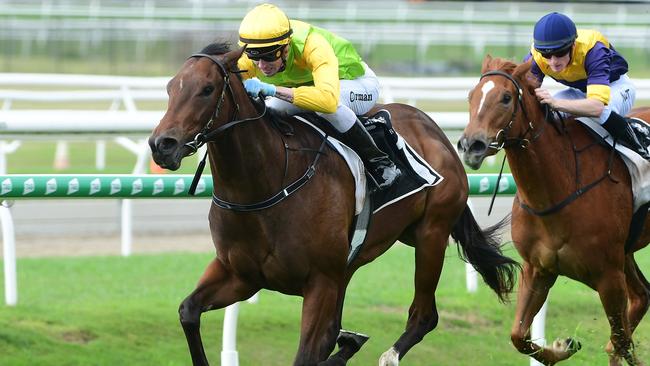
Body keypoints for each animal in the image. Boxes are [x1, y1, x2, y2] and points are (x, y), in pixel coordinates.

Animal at [148, 43, 516, 366]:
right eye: (170, 88)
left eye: (207, 89)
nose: (161, 145)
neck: (266, 185)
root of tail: (437, 133)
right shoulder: (240, 275)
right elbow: (188, 312)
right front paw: (348, 341)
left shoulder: (321, 281)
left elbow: (309, 352)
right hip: (374, 251)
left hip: (431, 234)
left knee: (424, 316)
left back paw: (388, 354)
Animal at [456, 55, 648, 366]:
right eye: (471, 96)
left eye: (506, 98)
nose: (470, 145)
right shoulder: (539, 268)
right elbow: (519, 336)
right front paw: (563, 346)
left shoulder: (608, 276)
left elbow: (621, 339)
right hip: (626, 253)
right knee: (642, 296)